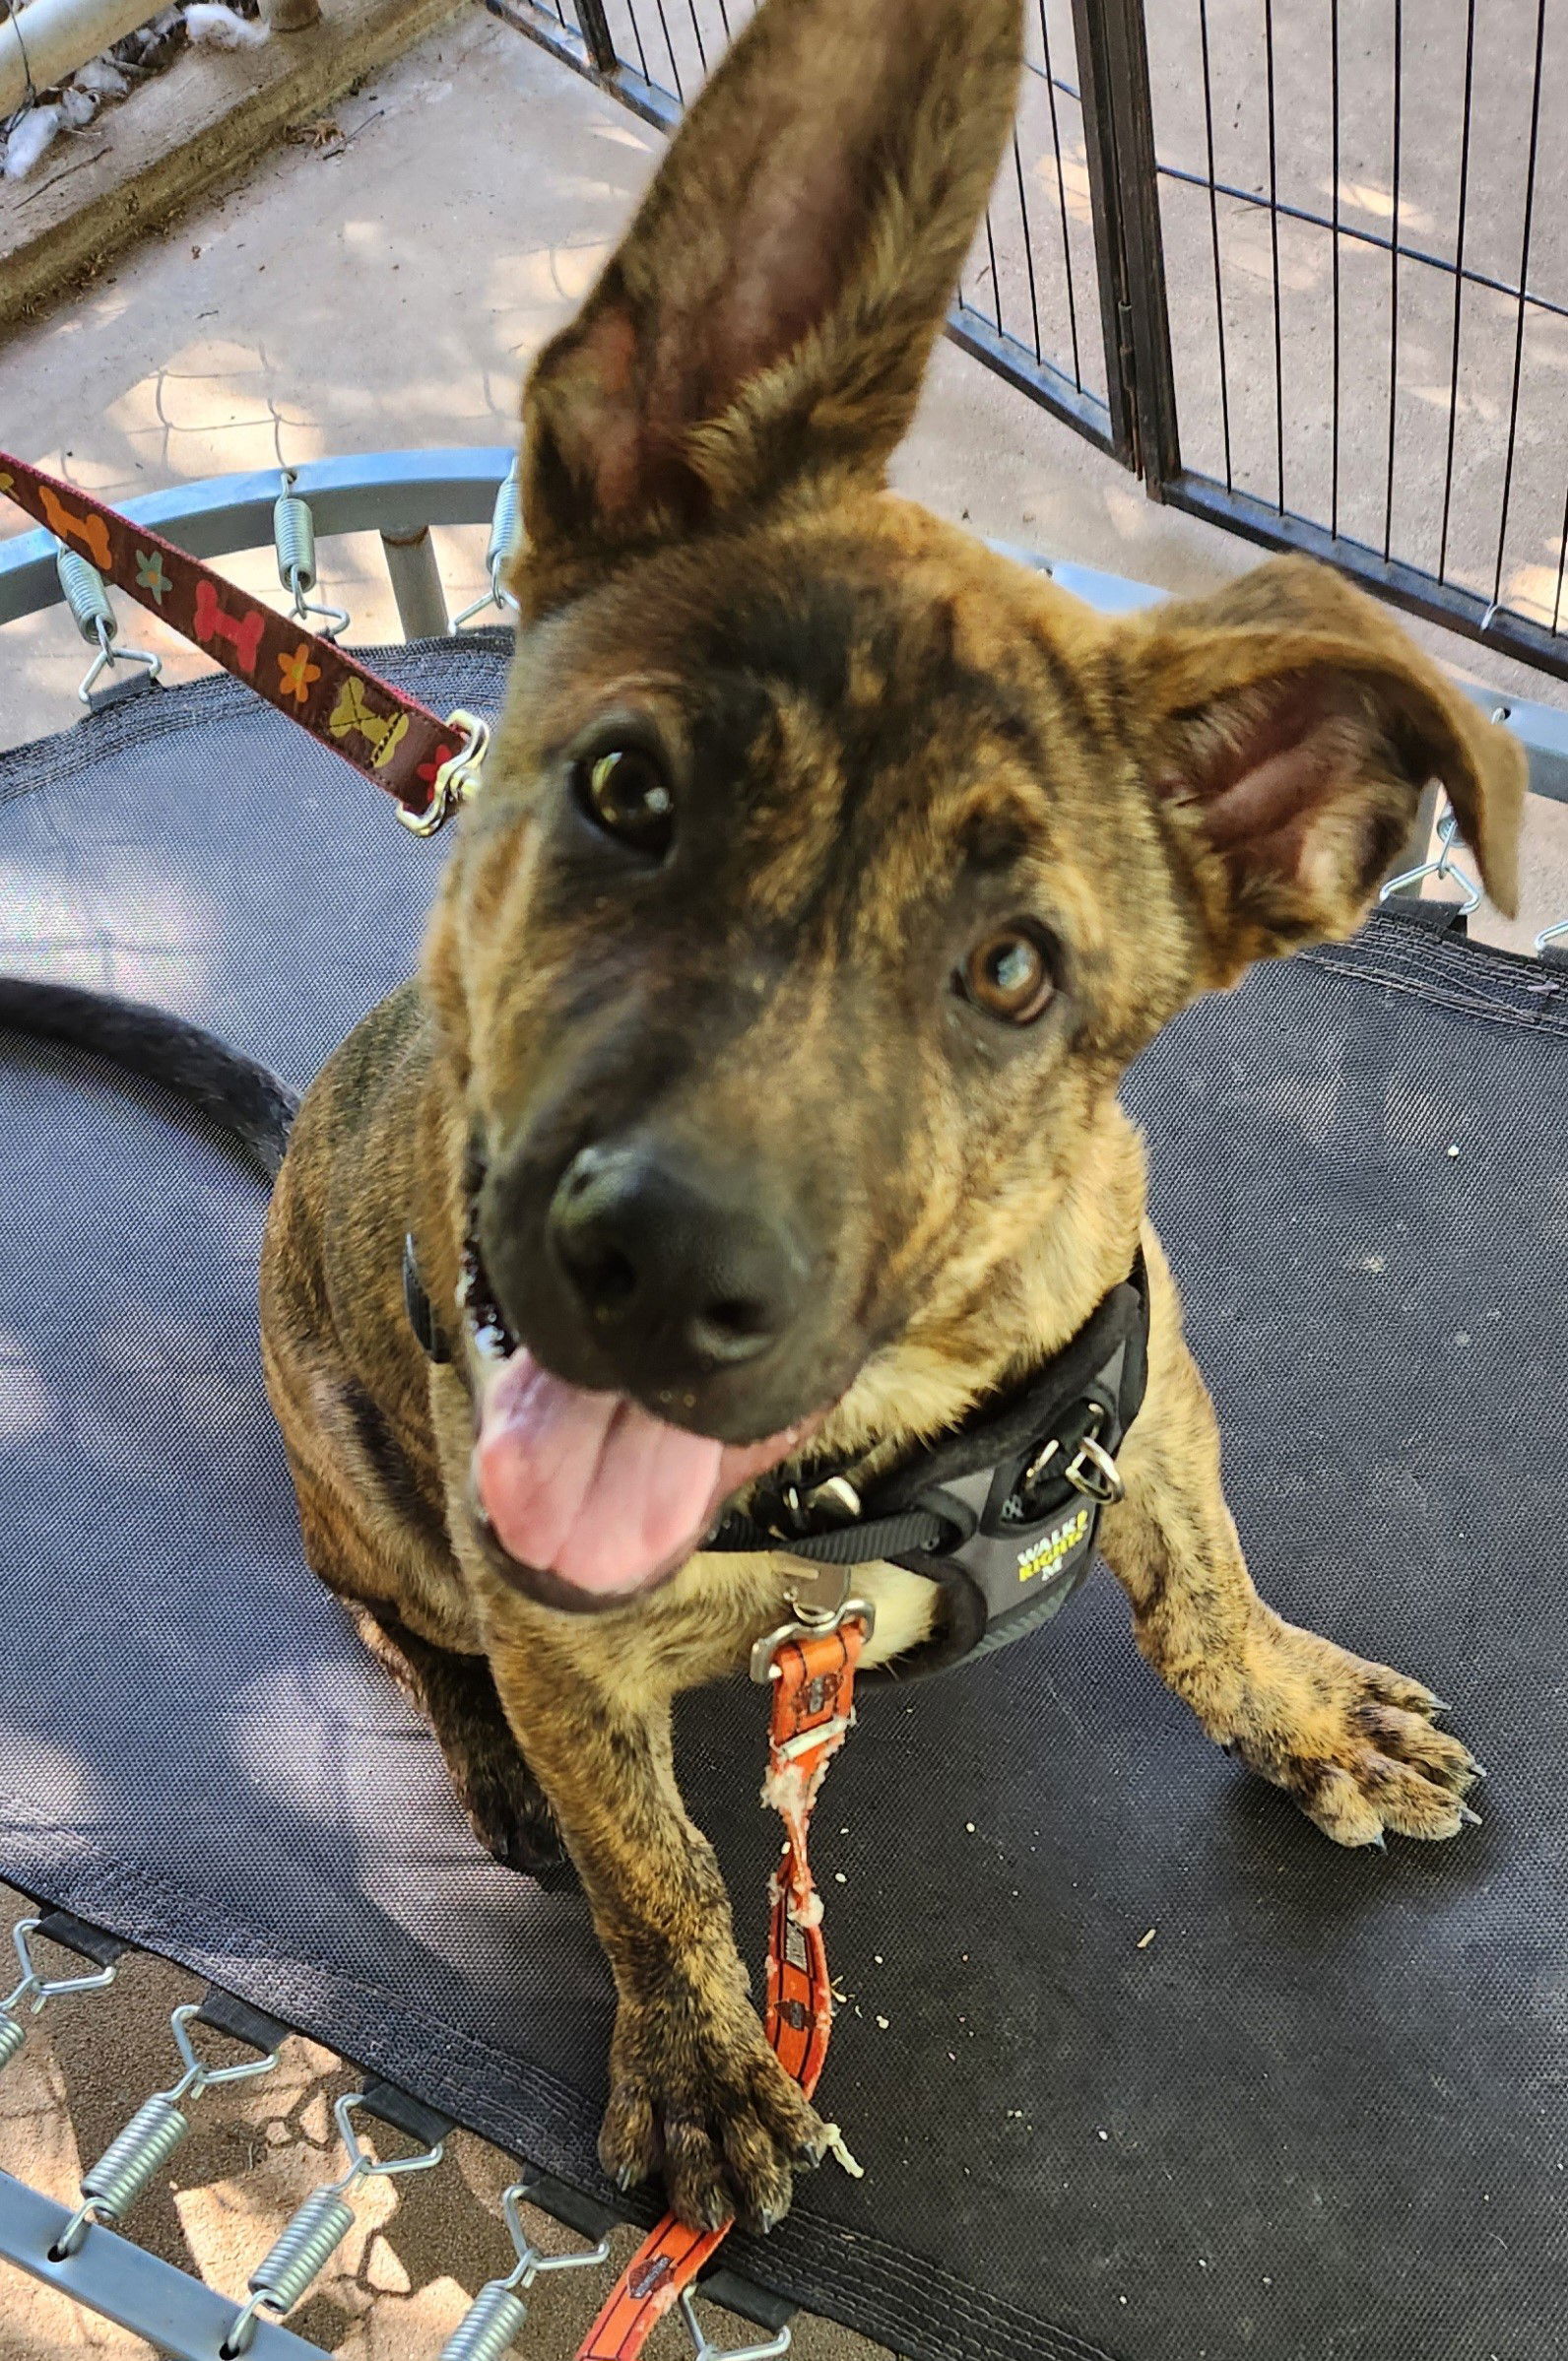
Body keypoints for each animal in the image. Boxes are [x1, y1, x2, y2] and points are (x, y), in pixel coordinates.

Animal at [253, 0, 1521, 2238]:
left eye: (1012, 972)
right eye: (627, 792)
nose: (653, 1269)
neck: (877, 1456)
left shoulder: (1153, 1406)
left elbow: (1204, 1592)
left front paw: (1299, 1711)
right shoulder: (569, 1642)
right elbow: (655, 1865)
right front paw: (698, 2058)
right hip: (358, 1474)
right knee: (404, 1633)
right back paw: (480, 1758)